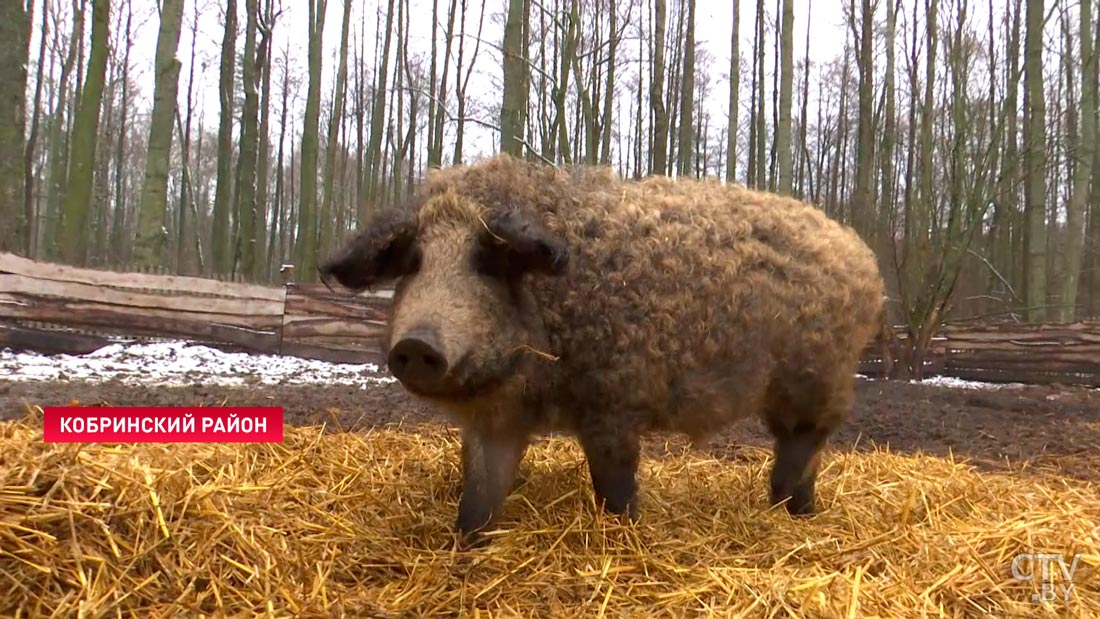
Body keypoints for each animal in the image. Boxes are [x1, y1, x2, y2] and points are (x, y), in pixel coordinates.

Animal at [319, 153, 884, 543]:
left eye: (487, 261)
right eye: (413, 263)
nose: (416, 344)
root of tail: (859, 251)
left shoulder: (613, 402)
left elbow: (614, 483)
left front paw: (625, 530)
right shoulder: (496, 422)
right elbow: (479, 492)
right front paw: (466, 544)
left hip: (817, 381)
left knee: (803, 446)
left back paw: (794, 512)